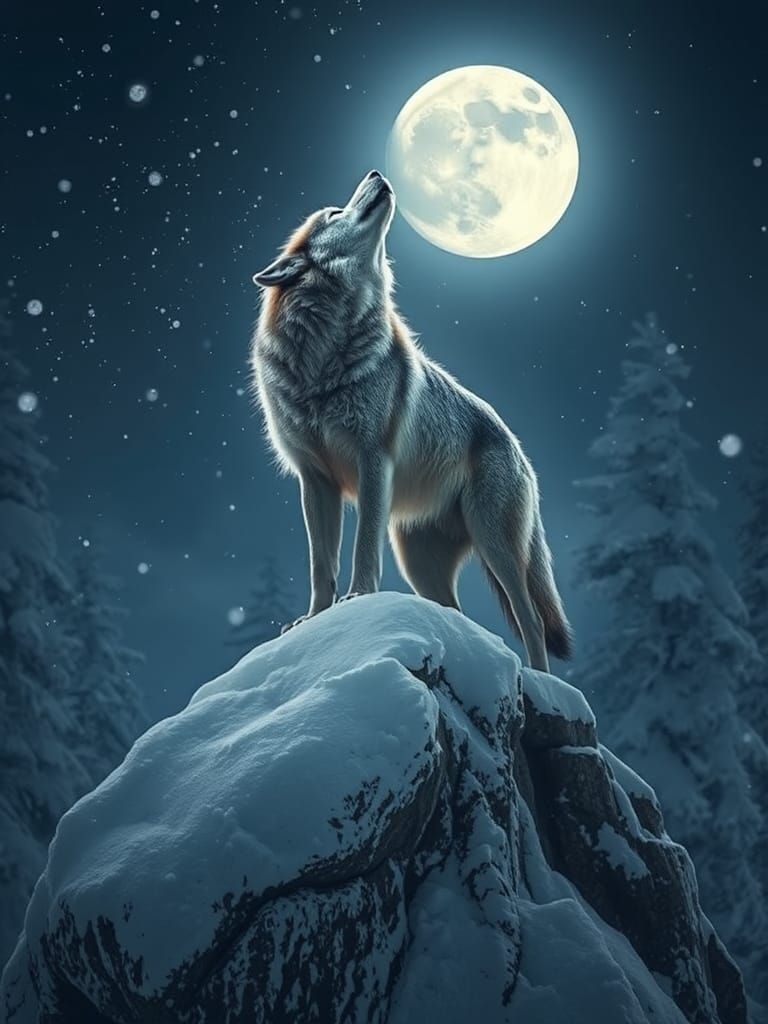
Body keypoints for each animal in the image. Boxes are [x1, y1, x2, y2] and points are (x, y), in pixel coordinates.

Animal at [251, 170, 572, 671]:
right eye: (335, 214)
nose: (377, 174)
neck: (322, 359)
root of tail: (516, 444)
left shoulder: (373, 461)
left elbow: (363, 544)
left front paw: (359, 597)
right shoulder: (314, 479)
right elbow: (321, 564)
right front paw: (314, 621)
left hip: (495, 543)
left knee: (531, 621)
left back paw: (544, 681)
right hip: (421, 565)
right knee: (459, 612)